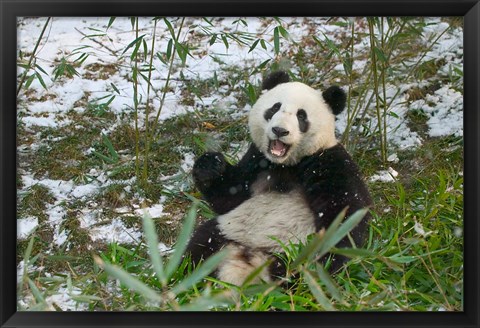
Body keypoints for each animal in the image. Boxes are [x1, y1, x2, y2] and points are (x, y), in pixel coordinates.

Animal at [186, 70, 374, 286]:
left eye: (301, 116)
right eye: (275, 107)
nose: (279, 130)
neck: (287, 163)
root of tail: (246, 259)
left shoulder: (328, 161)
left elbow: (345, 213)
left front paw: (330, 253)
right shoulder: (257, 160)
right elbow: (230, 196)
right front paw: (210, 165)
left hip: (290, 252)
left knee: (295, 276)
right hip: (228, 231)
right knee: (198, 246)